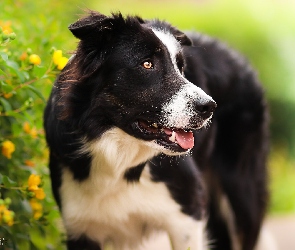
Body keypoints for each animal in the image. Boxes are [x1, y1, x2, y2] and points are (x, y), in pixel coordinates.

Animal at [44, 10, 270, 249]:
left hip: (243, 195)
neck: (118, 158)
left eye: (181, 68)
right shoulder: (81, 227)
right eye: (147, 64)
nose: (209, 107)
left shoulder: (188, 214)